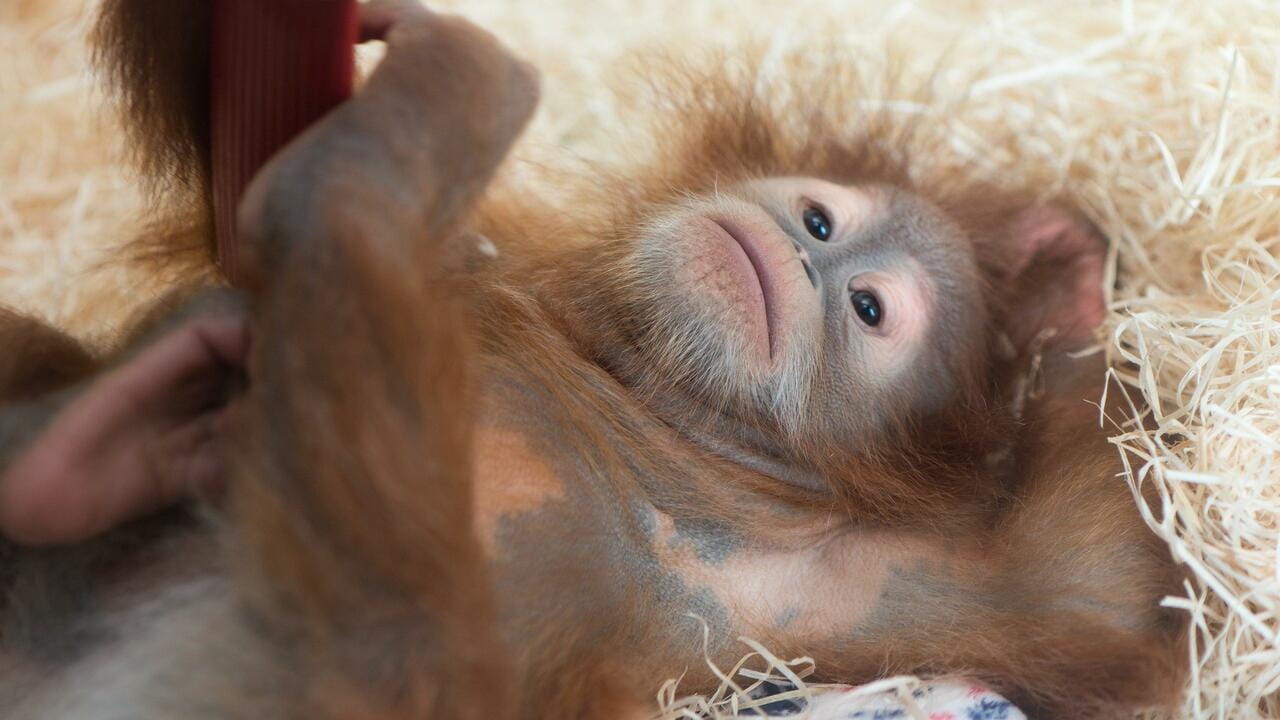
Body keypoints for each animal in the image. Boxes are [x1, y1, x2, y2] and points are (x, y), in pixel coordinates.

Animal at [0, 2, 1186, 719]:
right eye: (818, 218)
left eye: (865, 309)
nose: (805, 255)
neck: (663, 400)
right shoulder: (502, 254)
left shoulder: (887, 590)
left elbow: (1108, 588)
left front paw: (1075, 283)